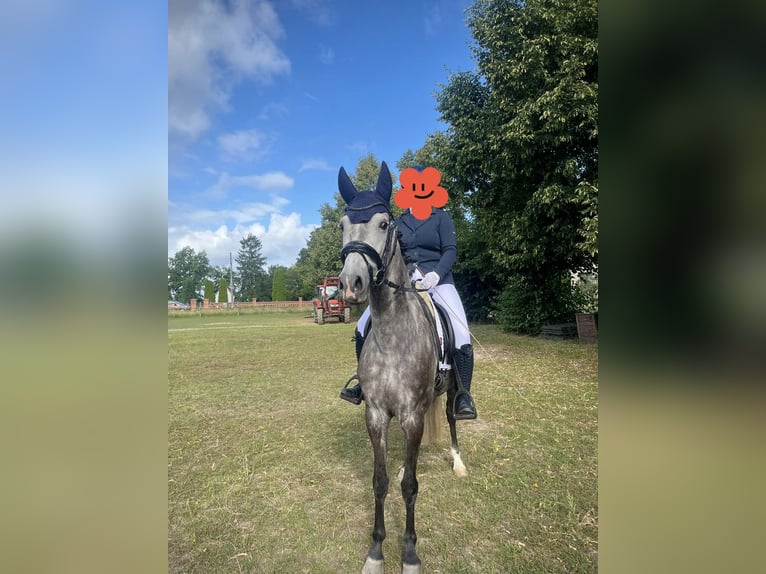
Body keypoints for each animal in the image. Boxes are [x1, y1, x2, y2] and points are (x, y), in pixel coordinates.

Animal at [337, 161, 468, 574]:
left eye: (383, 224)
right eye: (342, 225)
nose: (351, 284)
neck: (393, 333)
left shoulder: (411, 414)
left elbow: (410, 486)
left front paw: (409, 554)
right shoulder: (378, 414)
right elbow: (380, 481)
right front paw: (376, 551)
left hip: (450, 392)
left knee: (452, 420)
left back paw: (458, 462)